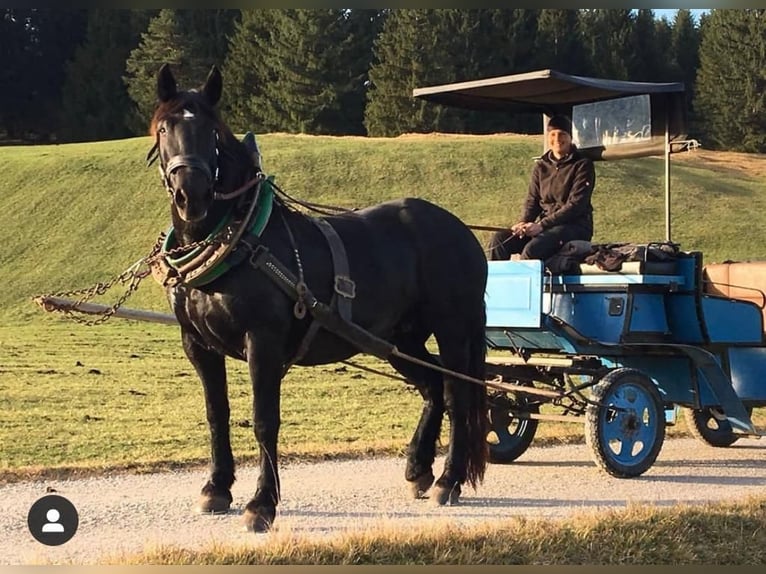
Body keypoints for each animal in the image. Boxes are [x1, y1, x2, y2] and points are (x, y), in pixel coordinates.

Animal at [147, 64, 488, 536]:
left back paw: (448, 479)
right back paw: (419, 468)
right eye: (165, 128)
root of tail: (460, 231)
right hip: (395, 340)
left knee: (458, 396)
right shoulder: (197, 345)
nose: (190, 195)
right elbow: (217, 415)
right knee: (432, 385)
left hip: (453, 329)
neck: (239, 242)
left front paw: (262, 503)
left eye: (211, 132)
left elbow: (264, 420)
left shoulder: (263, 343)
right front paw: (217, 487)